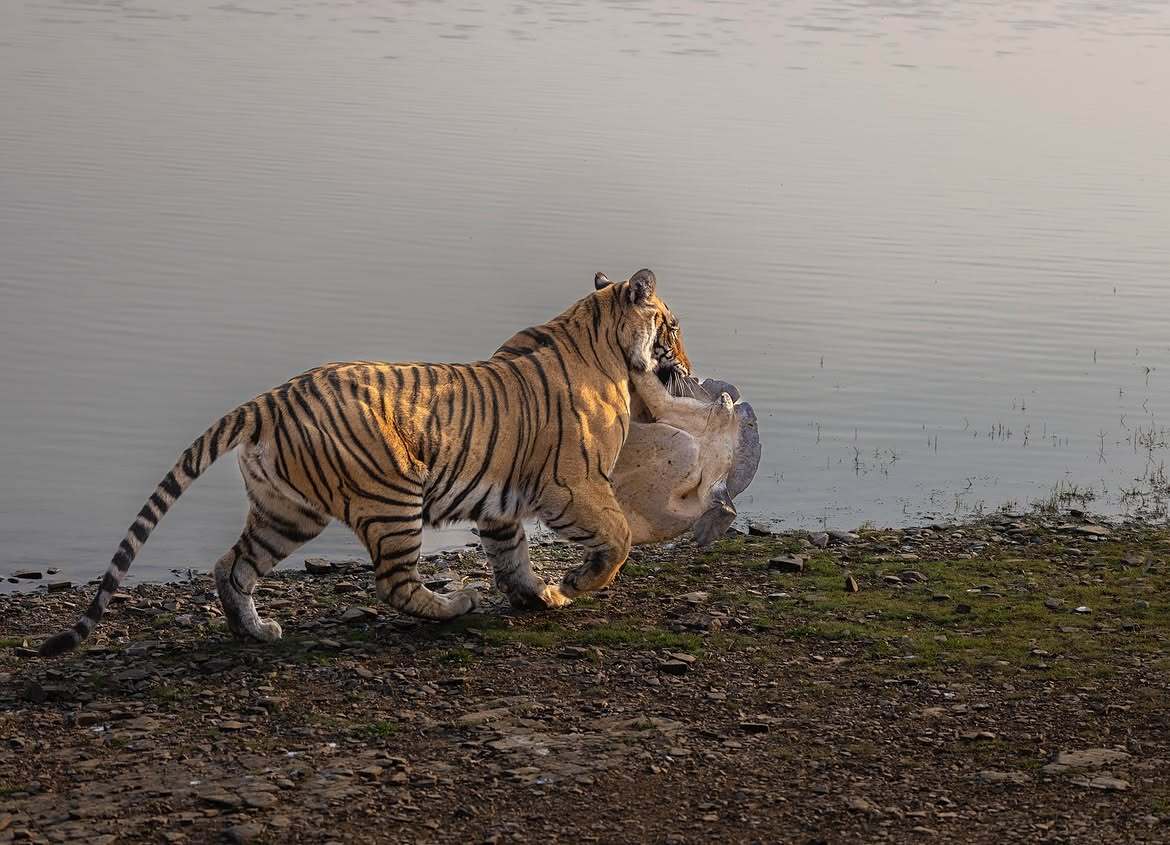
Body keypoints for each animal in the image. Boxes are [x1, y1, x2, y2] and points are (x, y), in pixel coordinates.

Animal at [38, 268, 718, 657]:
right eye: (673, 327)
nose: (688, 364)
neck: (599, 339)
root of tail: (272, 397)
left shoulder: (504, 502)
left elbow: (513, 556)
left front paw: (538, 595)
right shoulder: (574, 485)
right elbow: (619, 537)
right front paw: (572, 586)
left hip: (287, 512)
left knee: (232, 566)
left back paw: (255, 632)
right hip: (393, 495)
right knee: (394, 583)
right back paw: (454, 605)